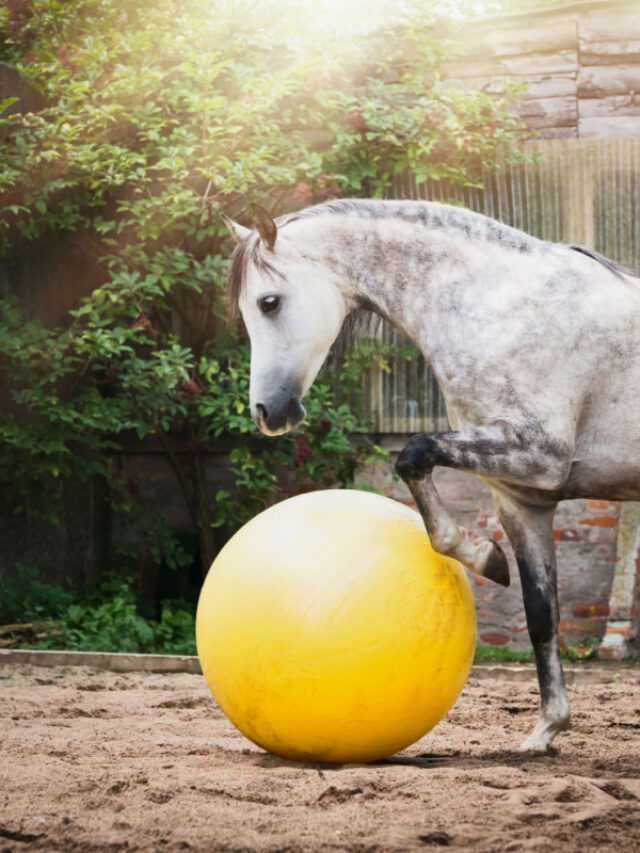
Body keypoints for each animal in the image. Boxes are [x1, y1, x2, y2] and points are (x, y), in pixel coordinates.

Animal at [224, 198, 640, 752]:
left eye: (269, 303)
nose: (267, 413)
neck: (496, 306)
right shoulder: (522, 497)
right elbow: (539, 611)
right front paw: (547, 728)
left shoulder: (537, 454)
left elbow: (414, 454)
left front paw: (483, 556)